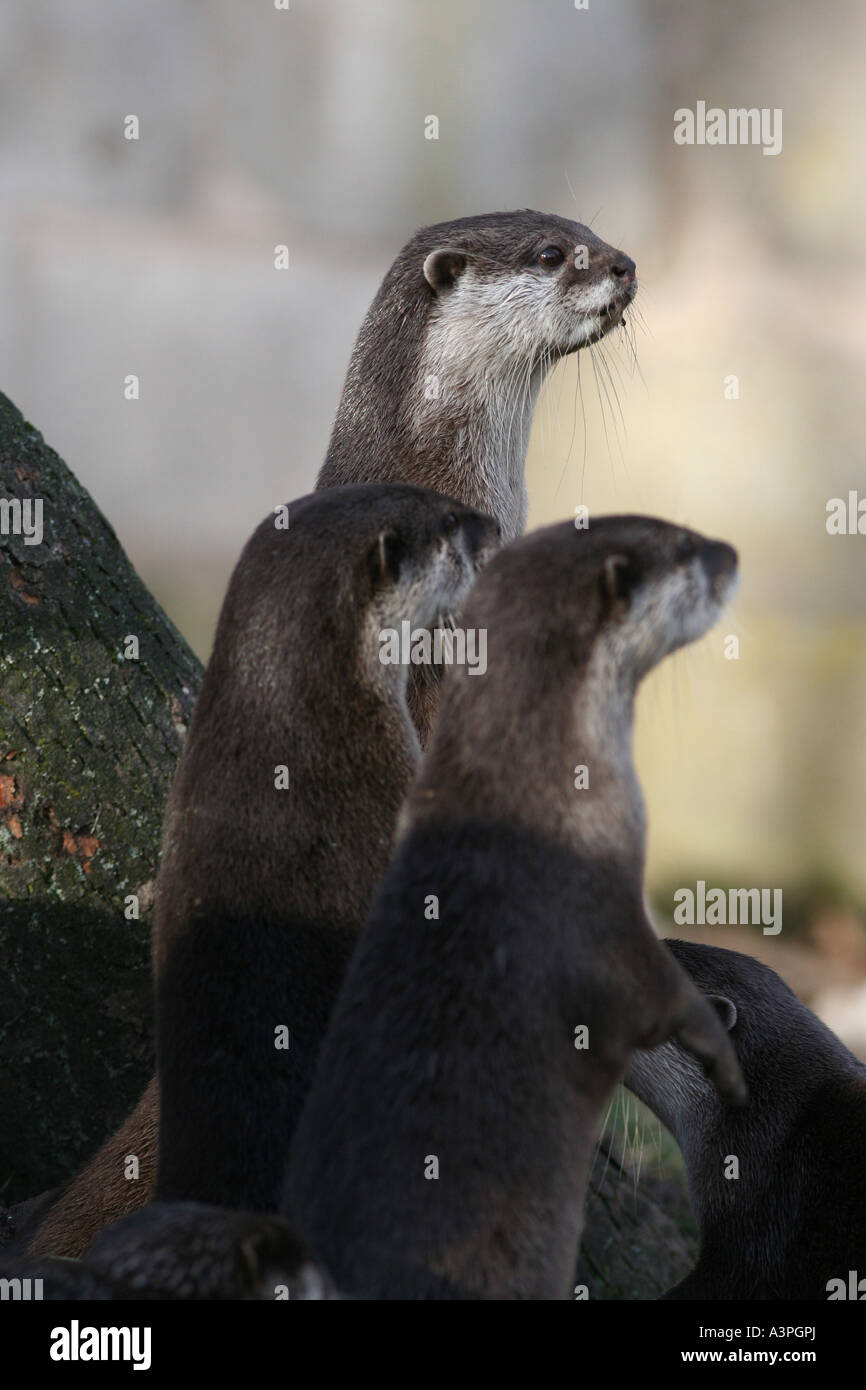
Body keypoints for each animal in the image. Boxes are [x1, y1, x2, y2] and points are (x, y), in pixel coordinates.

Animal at [284, 515, 746, 1300]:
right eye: (685, 545)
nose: (734, 554)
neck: (537, 789)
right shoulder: (605, 918)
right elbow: (663, 997)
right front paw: (727, 1064)